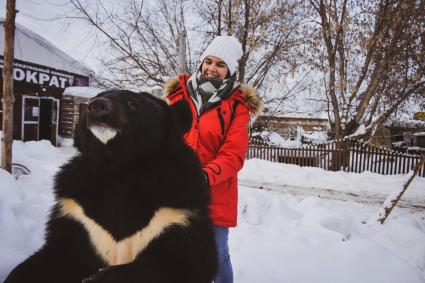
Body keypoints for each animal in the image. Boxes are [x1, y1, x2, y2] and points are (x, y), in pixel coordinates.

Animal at [5, 90, 219, 283]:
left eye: (133, 102)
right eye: (96, 97)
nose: (97, 106)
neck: (119, 168)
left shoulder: (178, 214)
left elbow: (187, 262)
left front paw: (99, 278)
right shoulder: (75, 212)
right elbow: (53, 256)